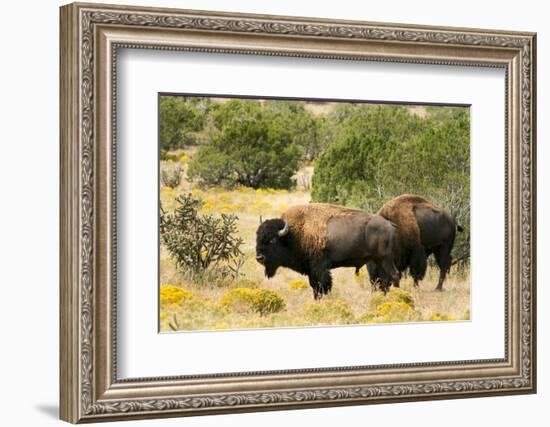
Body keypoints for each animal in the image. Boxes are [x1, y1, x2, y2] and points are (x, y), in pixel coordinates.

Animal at [254, 205, 402, 300]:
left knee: (394, 275)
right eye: (258, 237)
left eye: (272, 240)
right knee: (384, 279)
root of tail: (389, 224)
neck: (294, 234)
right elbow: (315, 287)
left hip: (385, 258)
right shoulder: (311, 271)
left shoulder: (320, 268)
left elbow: (322, 286)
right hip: (378, 260)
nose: (259, 257)